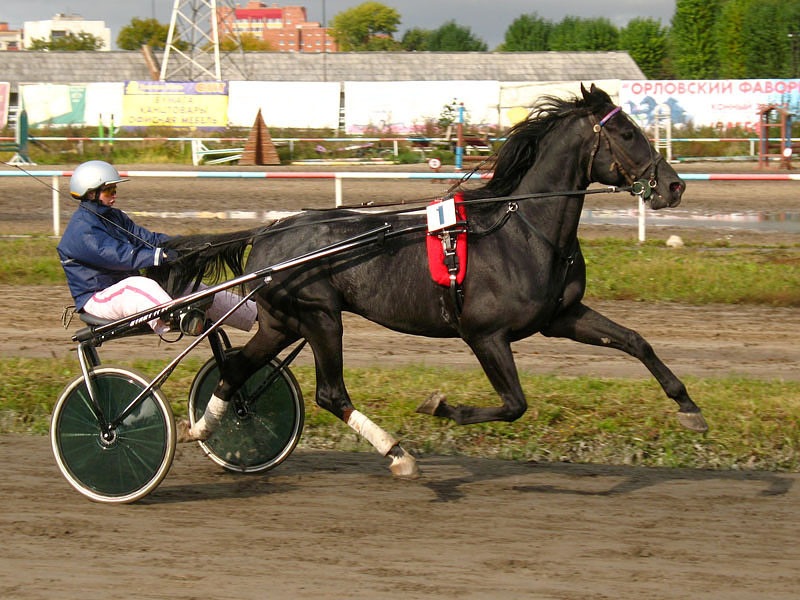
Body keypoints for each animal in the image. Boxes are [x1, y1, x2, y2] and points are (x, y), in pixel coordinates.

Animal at [157, 84, 707, 478]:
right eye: (629, 133)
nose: (675, 186)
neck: (523, 230)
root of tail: (269, 231)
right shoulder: (485, 334)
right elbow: (514, 404)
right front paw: (442, 407)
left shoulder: (561, 316)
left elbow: (635, 341)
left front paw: (688, 407)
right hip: (320, 318)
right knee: (329, 393)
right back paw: (397, 453)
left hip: (282, 322)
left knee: (234, 369)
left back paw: (202, 428)